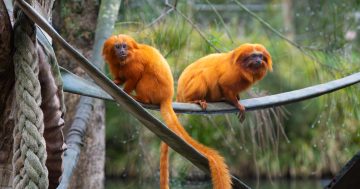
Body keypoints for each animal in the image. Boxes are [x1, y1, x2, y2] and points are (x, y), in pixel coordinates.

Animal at [102, 34, 231, 189]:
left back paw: (141, 99)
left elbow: (135, 75)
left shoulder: (134, 61)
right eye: (117, 46)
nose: (122, 51)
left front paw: (125, 91)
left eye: (124, 46)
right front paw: (116, 83)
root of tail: (167, 97)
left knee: (145, 75)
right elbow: (120, 77)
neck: (123, 60)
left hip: (154, 89)